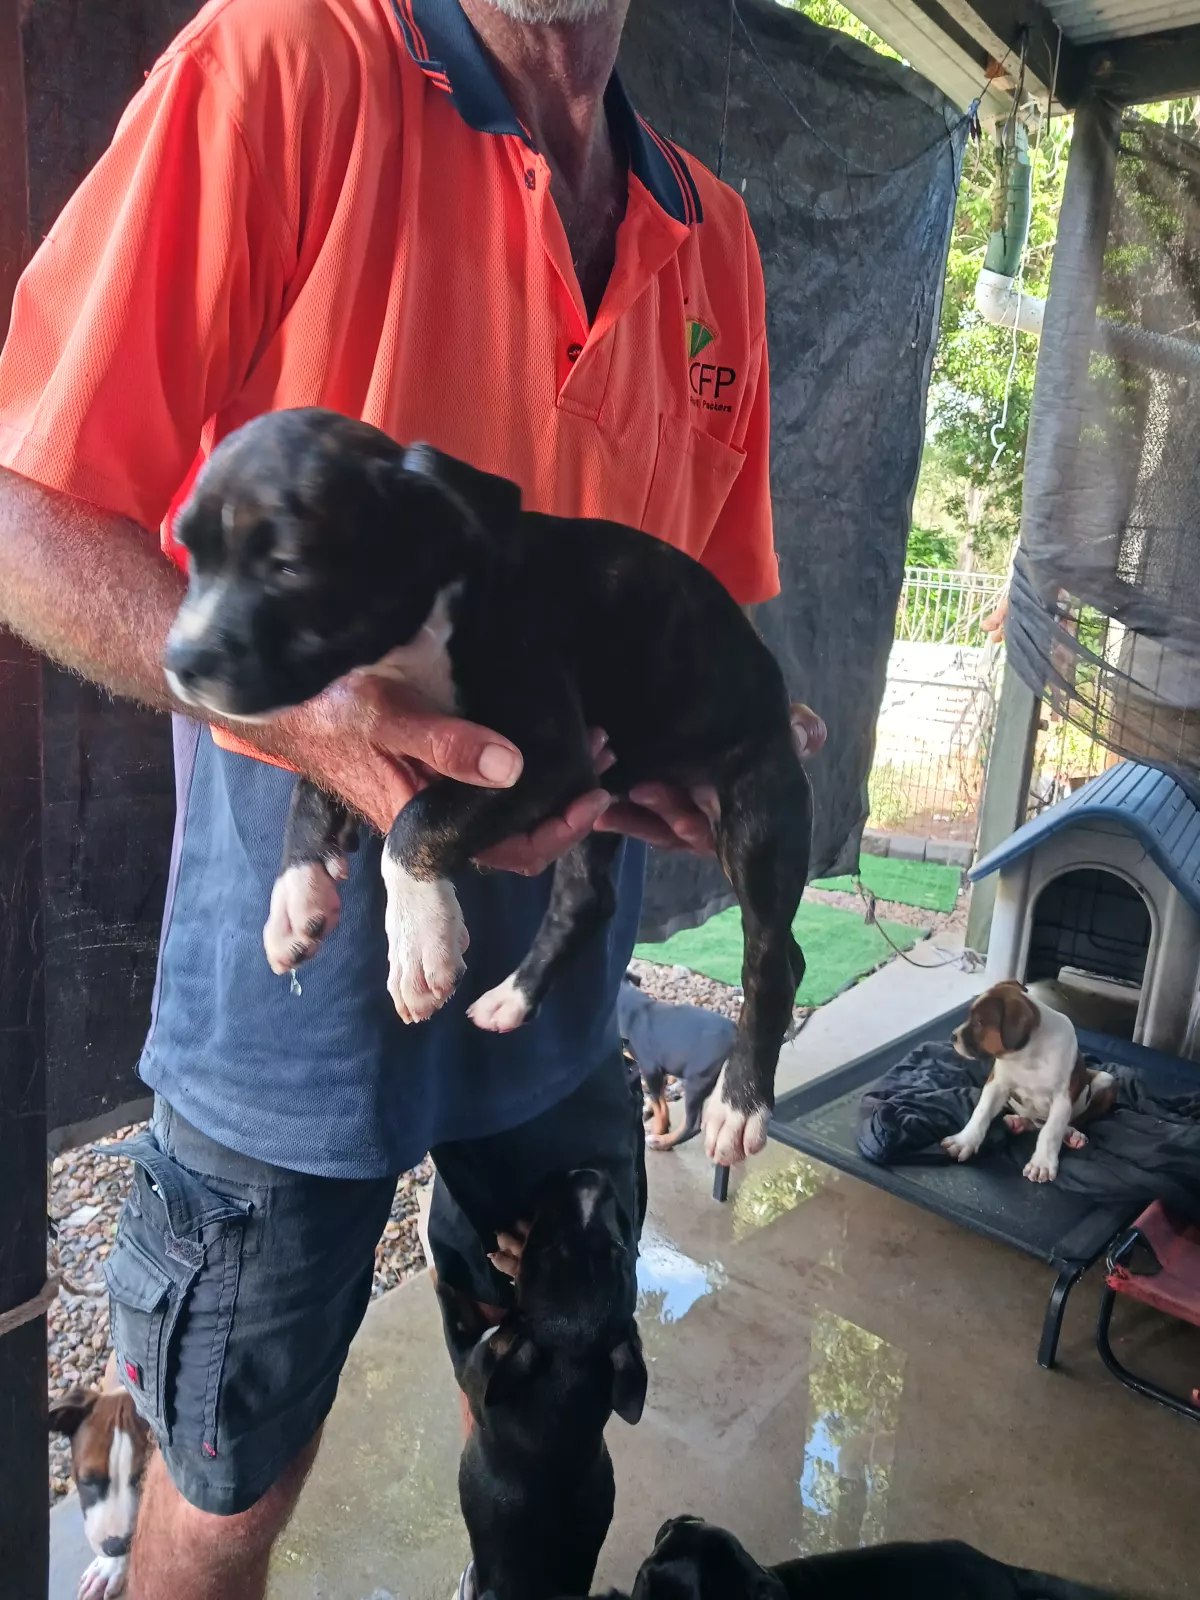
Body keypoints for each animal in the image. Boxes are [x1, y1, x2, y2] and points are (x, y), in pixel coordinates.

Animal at [436, 1168, 647, 1600]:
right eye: (620, 1248)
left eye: (543, 1247)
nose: (589, 1175)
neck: (568, 1364)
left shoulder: (470, 1360)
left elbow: (455, 1316)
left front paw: (444, 1281)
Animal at [618, 975, 737, 1151]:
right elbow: (661, 1102)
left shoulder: (651, 1070)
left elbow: (659, 1104)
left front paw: (658, 1130)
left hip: (696, 1081)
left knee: (693, 1125)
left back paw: (661, 1142)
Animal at [942, 980, 1117, 1184]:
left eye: (979, 1023)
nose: (952, 1036)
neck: (1027, 1055)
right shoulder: (997, 1084)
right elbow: (981, 1112)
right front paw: (964, 1141)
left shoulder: (1062, 1099)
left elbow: (1051, 1131)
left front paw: (1042, 1164)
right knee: (1035, 1122)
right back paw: (1019, 1122)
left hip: (1106, 1079)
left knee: (1064, 1122)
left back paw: (1072, 1134)